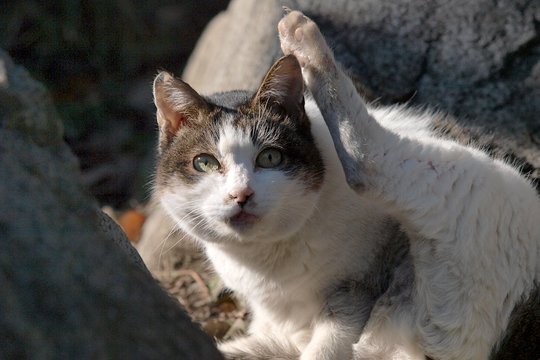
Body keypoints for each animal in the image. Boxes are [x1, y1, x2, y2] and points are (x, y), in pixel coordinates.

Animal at [151, 9, 540, 360]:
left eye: (270, 158)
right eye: (205, 163)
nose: (241, 194)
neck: (267, 268)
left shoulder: (353, 292)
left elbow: (329, 341)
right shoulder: (282, 336)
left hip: (482, 187)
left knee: (368, 162)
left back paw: (301, 33)